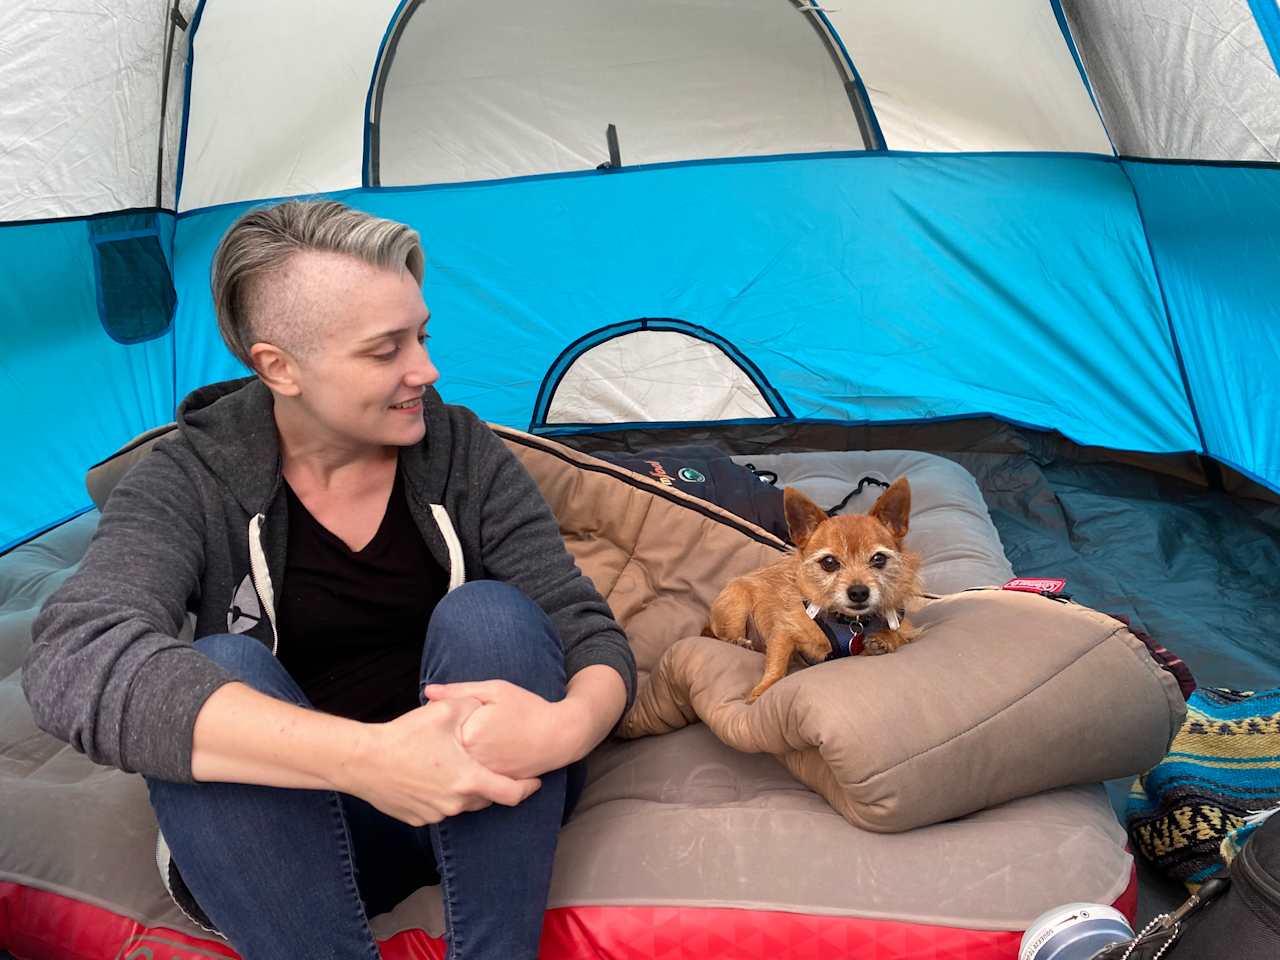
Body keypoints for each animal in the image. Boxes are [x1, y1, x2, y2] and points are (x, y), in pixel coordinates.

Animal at [711, 478, 921, 701]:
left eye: (879, 559)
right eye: (829, 562)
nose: (858, 592)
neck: (850, 622)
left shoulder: (905, 627)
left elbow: (900, 635)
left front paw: (883, 640)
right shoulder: (783, 632)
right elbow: (776, 665)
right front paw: (761, 690)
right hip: (737, 603)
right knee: (722, 636)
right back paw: (740, 642)